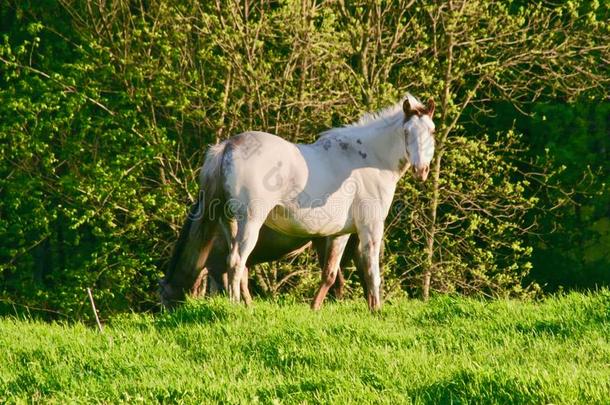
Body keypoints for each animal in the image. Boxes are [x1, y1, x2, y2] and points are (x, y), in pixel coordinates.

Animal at [160, 93, 432, 310]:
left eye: (432, 131)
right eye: (406, 132)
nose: (422, 170)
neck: (368, 159)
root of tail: (228, 146)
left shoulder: (341, 233)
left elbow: (331, 274)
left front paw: (316, 309)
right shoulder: (371, 228)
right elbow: (372, 271)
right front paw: (376, 311)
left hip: (229, 224)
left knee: (235, 264)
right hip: (249, 223)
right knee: (236, 262)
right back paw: (238, 308)